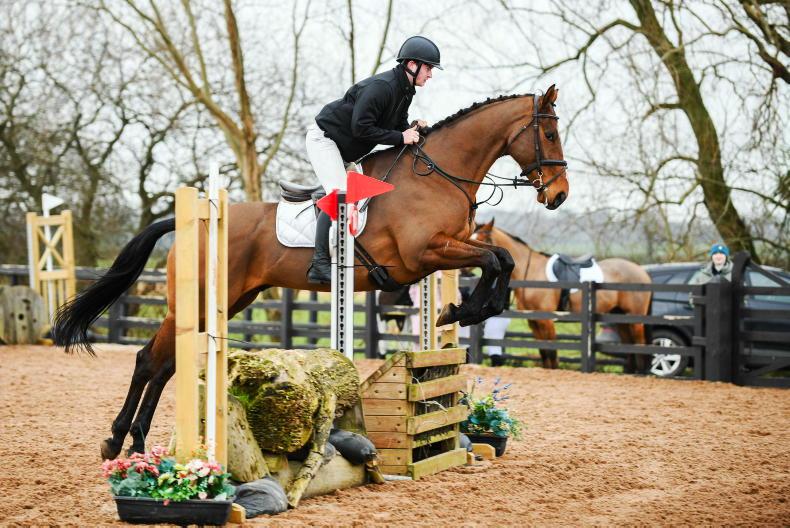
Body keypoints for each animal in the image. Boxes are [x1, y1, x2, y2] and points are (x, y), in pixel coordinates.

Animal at [53, 86, 570, 460]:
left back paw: (137, 442)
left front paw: (461, 310)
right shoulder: (426, 253)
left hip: (229, 300)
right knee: (149, 360)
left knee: (165, 364)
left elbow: (500, 260)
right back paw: (118, 441)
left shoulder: (444, 251)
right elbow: (494, 260)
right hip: (197, 301)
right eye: (548, 135)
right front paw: (462, 309)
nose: (559, 194)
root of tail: (192, 220)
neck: (437, 175)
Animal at [471, 219, 652, 372]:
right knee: (628, 344)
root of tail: (642, 271)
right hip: (620, 316)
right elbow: (543, 351)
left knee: (639, 344)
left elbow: (551, 350)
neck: (532, 271)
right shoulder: (534, 321)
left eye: (483, 239)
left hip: (634, 318)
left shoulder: (546, 320)